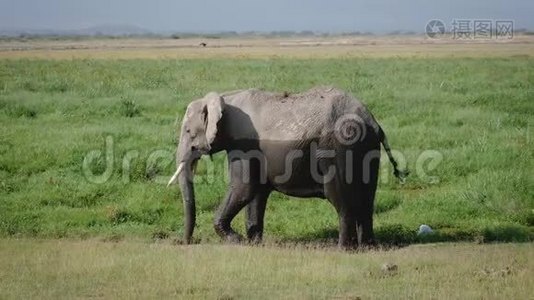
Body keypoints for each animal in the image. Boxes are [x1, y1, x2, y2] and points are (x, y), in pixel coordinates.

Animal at [170, 85, 408, 247]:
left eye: (189, 132)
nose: (186, 241)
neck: (227, 97)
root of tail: (372, 121)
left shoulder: (244, 145)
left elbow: (243, 189)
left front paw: (237, 241)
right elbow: (257, 194)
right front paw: (254, 243)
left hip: (340, 146)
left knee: (341, 198)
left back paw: (344, 249)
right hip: (366, 149)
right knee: (366, 198)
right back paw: (368, 247)